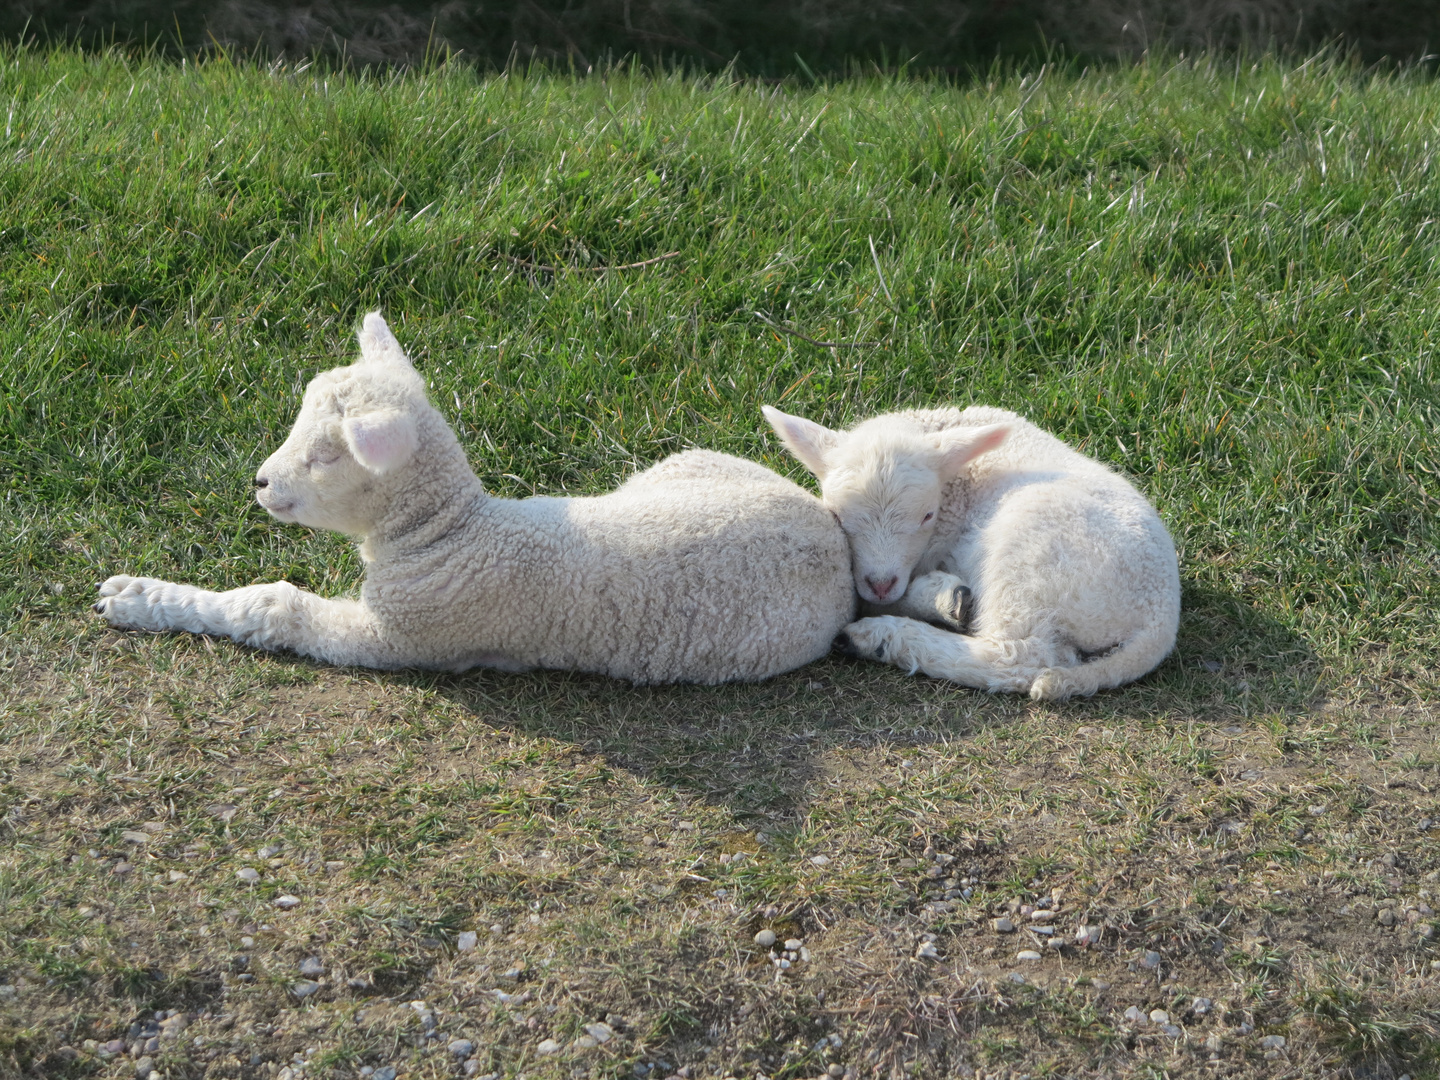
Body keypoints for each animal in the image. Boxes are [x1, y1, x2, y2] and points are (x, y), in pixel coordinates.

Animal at [95, 312, 852, 685]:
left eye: (327, 455)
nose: (259, 482)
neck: (449, 531)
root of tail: (834, 540)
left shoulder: (401, 636)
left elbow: (270, 606)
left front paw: (138, 597)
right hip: (676, 469)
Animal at [760, 406, 1175, 702]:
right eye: (836, 514)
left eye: (927, 515)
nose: (880, 583)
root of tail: (1160, 615)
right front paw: (940, 597)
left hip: (1032, 561)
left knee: (1016, 656)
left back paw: (880, 638)